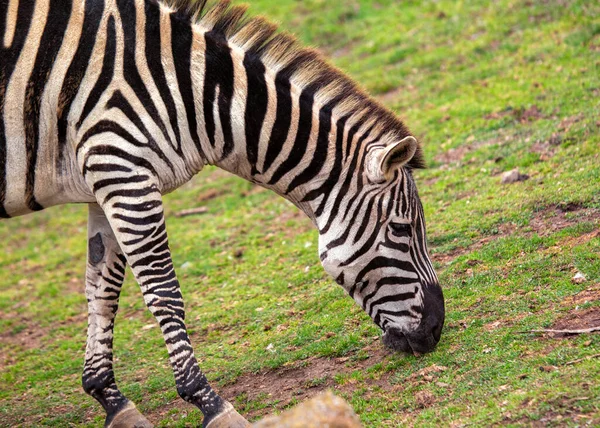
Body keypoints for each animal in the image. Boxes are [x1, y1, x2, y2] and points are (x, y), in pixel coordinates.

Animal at [1, 0, 446, 426]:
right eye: (401, 230)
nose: (436, 329)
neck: (193, 92)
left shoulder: (103, 181)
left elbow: (102, 292)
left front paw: (111, 399)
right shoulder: (123, 170)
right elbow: (165, 293)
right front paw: (209, 403)